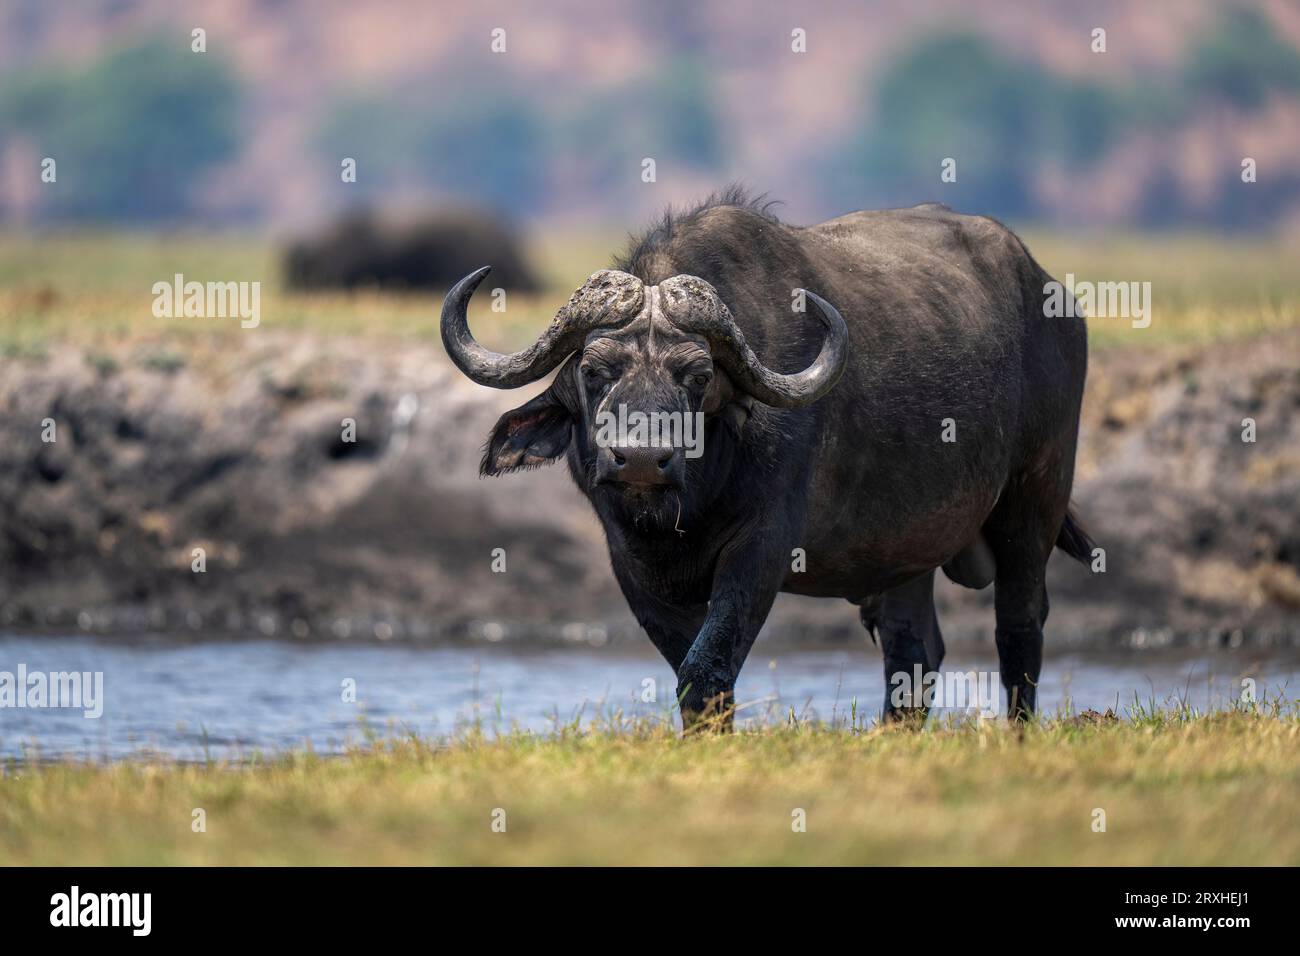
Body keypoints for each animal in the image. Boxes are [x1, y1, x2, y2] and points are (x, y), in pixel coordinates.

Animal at [441, 187, 1092, 728]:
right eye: (596, 371)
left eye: (698, 376)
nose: (643, 460)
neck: (686, 509)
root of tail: (1052, 298)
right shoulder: (631, 564)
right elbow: (691, 669)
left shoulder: (763, 545)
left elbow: (708, 664)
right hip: (907, 549)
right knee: (914, 647)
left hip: (1035, 497)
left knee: (1020, 625)